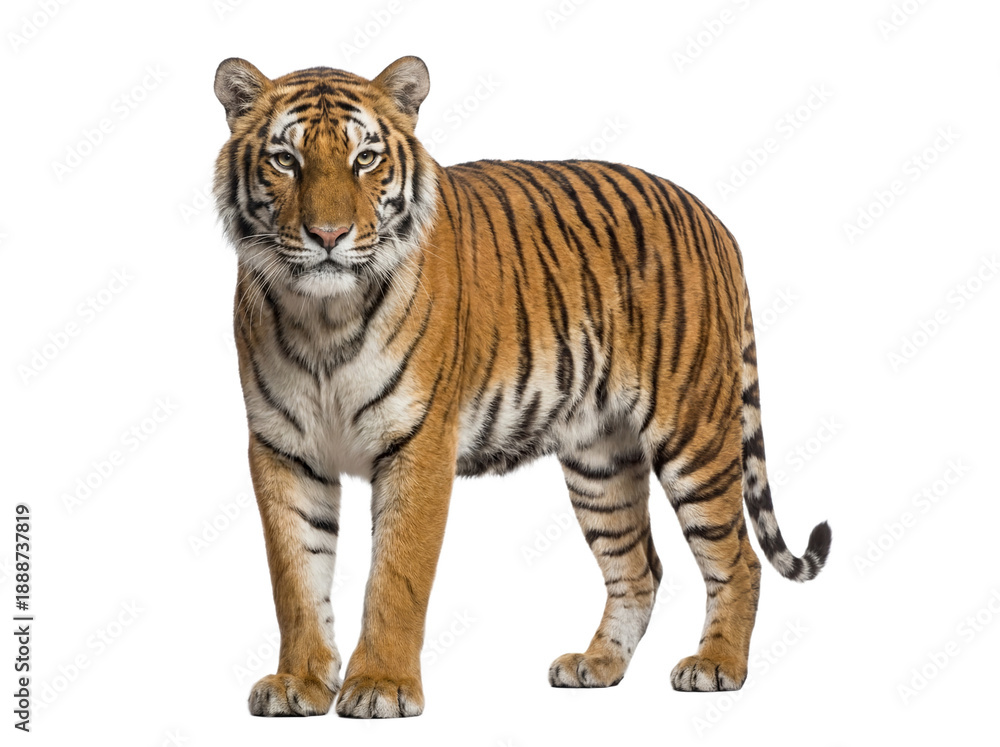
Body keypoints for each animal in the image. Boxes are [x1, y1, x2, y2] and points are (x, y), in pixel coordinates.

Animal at [212, 55, 831, 719]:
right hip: (599, 459)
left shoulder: (418, 446)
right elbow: (295, 578)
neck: (324, 316)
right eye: (285, 160)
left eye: (366, 159)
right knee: (640, 567)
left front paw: (381, 685)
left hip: (694, 434)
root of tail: (712, 220)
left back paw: (716, 666)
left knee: (738, 557)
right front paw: (298, 683)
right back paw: (597, 665)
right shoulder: (282, 449)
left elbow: (396, 578)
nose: (328, 235)